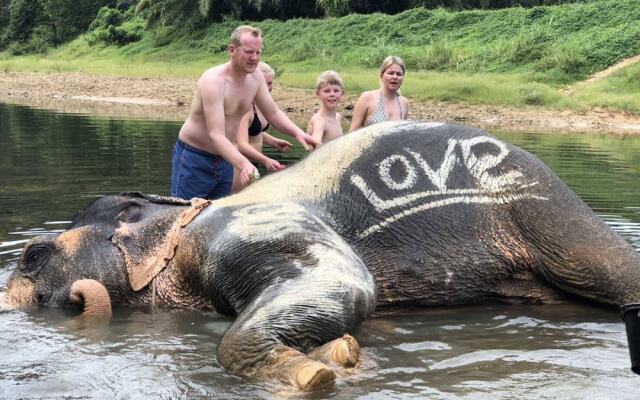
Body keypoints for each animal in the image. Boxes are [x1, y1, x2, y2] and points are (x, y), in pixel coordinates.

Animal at [1, 122, 640, 390]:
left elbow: (348, 281)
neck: (179, 217)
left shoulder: (240, 229)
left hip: (548, 214)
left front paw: (317, 370)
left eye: (33, 256)